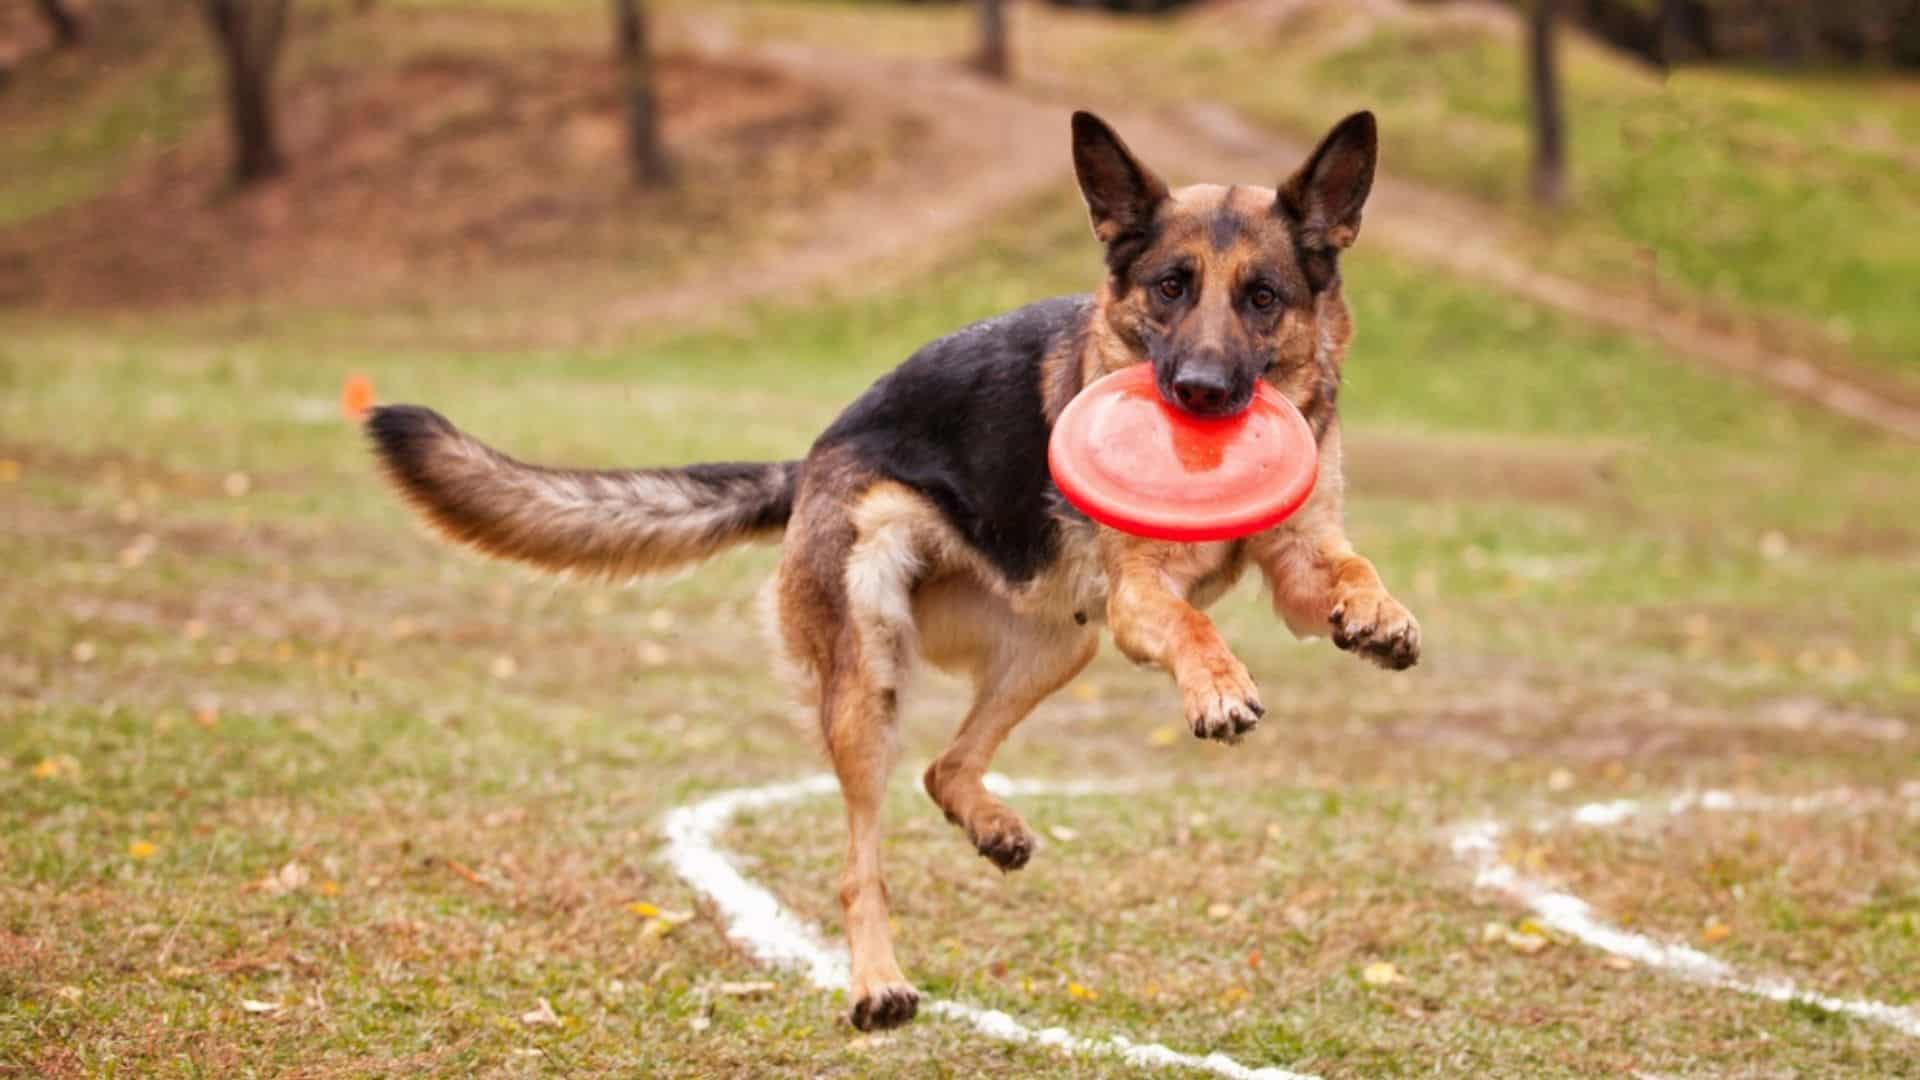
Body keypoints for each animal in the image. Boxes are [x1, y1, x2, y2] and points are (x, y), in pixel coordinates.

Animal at [374, 109, 1420, 1022]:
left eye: (1262, 298)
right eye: (1170, 286)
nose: (1199, 395)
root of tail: (811, 462)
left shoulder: (1297, 561)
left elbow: (1348, 570)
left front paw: (1380, 620)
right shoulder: (1138, 596)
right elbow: (1195, 622)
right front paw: (1217, 687)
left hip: (1056, 647)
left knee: (945, 768)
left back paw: (990, 826)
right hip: (870, 669)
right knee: (861, 858)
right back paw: (877, 983)